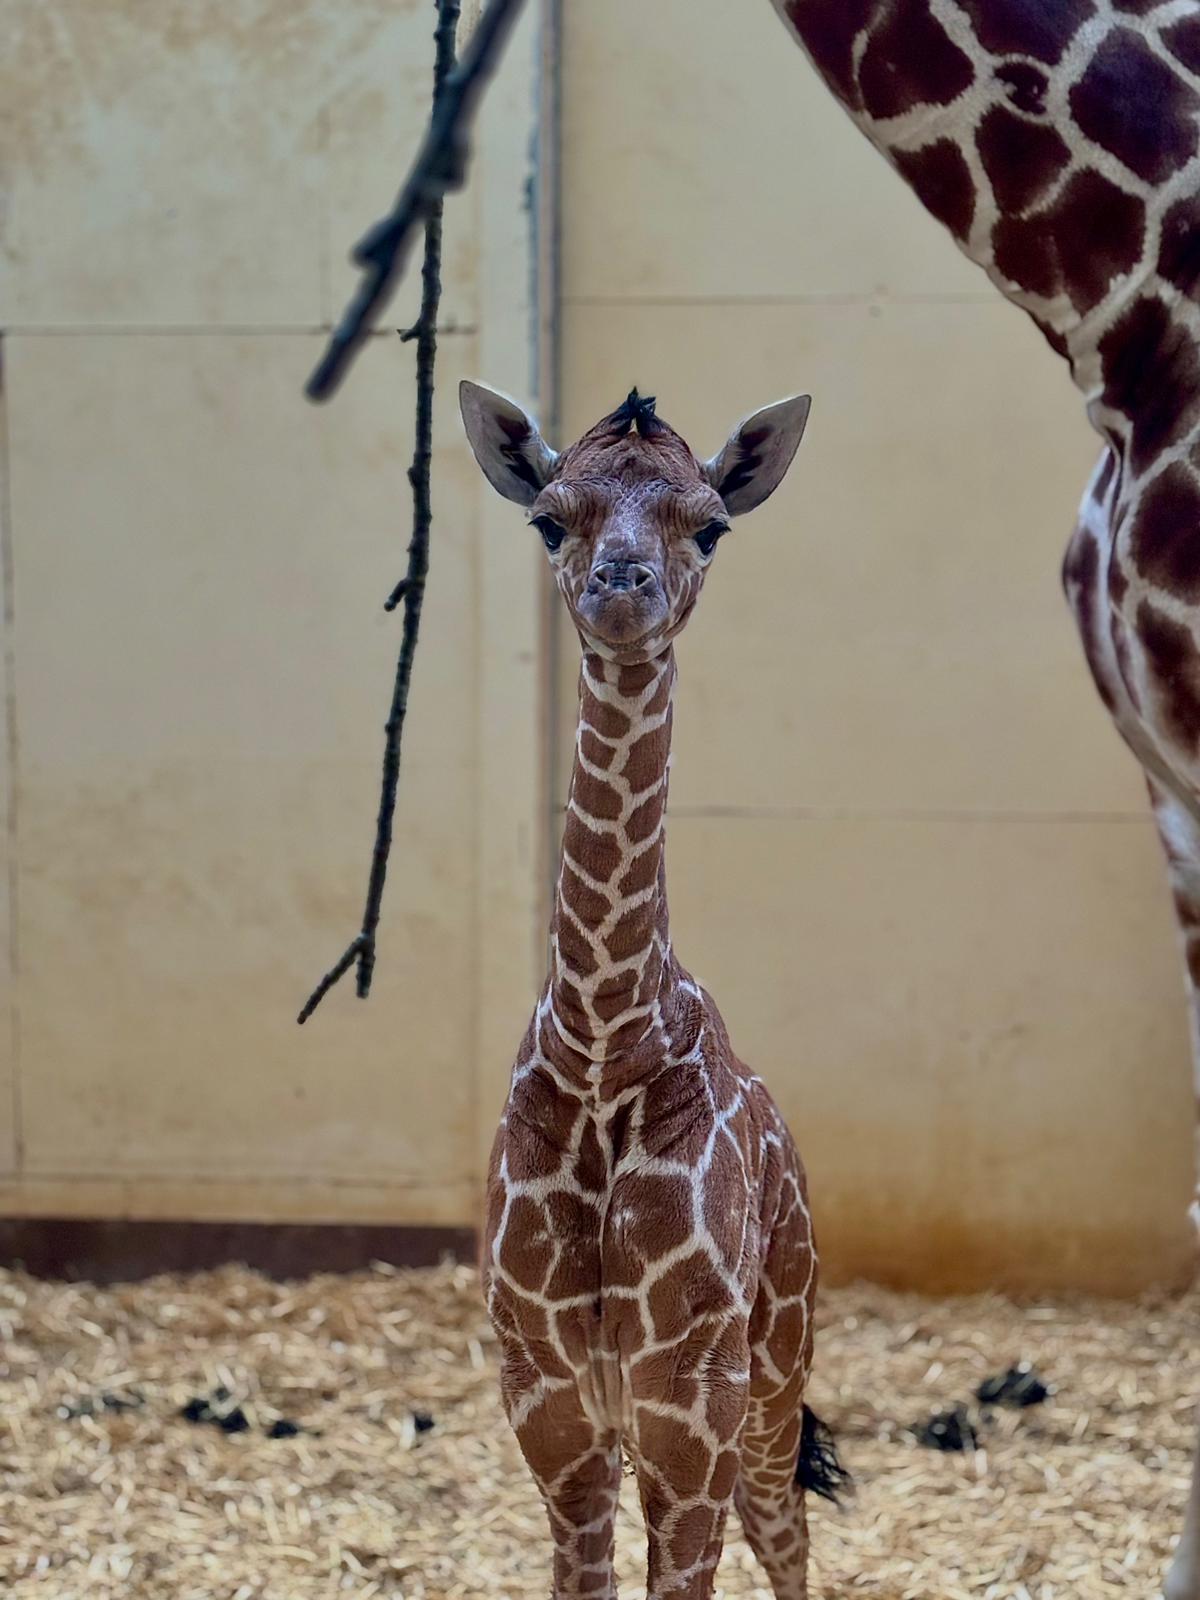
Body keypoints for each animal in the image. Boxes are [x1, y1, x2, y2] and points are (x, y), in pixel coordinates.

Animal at [459, 380, 846, 1600]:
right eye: (550, 519)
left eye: (709, 526)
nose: (619, 589)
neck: (601, 1041)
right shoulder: (552, 1406)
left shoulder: (691, 1404)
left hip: (773, 1373)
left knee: (788, 1530)